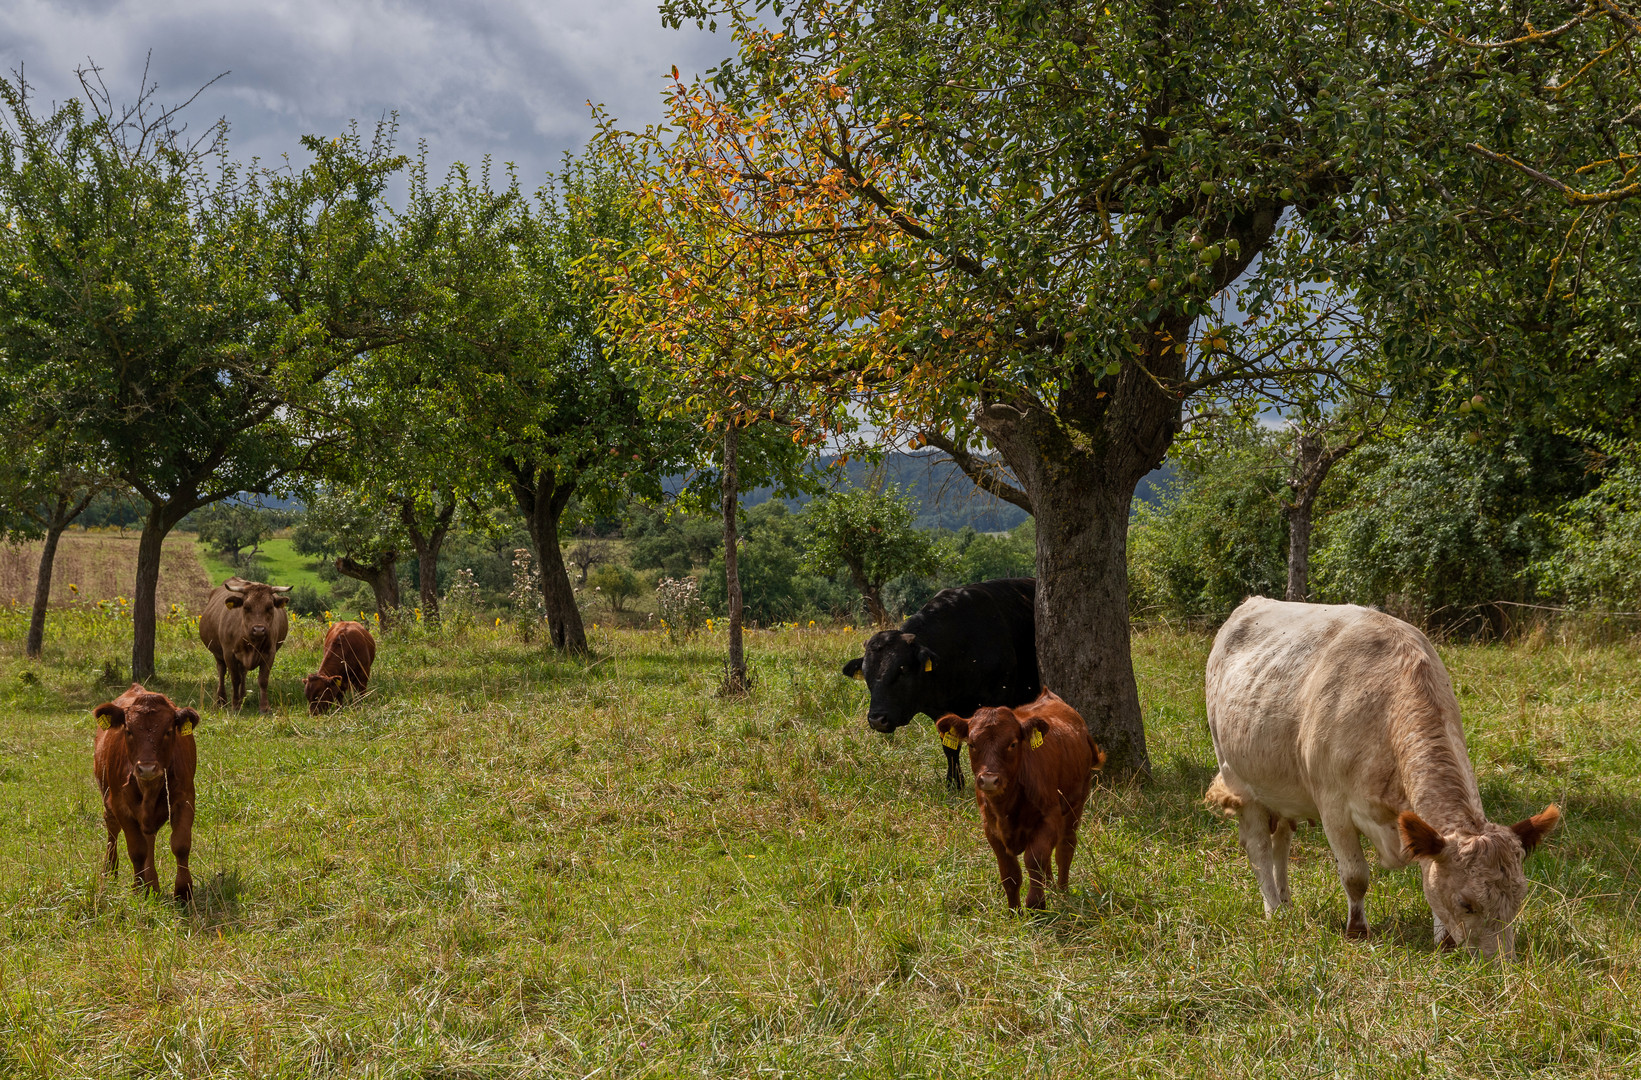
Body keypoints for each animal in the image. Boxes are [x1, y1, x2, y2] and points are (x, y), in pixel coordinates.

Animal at [91, 682, 200, 899]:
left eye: (168, 731)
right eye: (128, 730)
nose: (147, 768)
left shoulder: (185, 799)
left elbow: (180, 844)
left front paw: (183, 891)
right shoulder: (120, 805)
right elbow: (137, 850)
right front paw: (138, 889)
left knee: (149, 837)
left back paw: (152, 884)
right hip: (108, 799)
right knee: (113, 830)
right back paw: (111, 872)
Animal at [198, 577, 292, 712]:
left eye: (269, 607)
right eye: (246, 607)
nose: (258, 629)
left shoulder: (270, 654)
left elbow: (263, 680)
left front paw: (264, 707)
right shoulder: (229, 654)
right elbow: (235, 679)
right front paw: (235, 705)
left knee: (243, 672)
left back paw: (242, 697)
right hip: (218, 654)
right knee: (221, 671)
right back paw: (222, 700)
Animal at [846, 577, 1037, 787]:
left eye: (902, 670)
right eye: (866, 674)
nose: (877, 719)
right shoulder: (940, 712)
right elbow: (950, 749)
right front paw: (954, 783)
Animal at [938, 686, 1102, 906]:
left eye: (1013, 744)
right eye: (972, 744)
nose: (989, 780)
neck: (1007, 805)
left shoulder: (1049, 818)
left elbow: (1034, 860)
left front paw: (1037, 905)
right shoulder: (991, 829)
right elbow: (1010, 874)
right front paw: (1014, 911)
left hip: (1075, 803)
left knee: (1065, 847)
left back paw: (1062, 892)